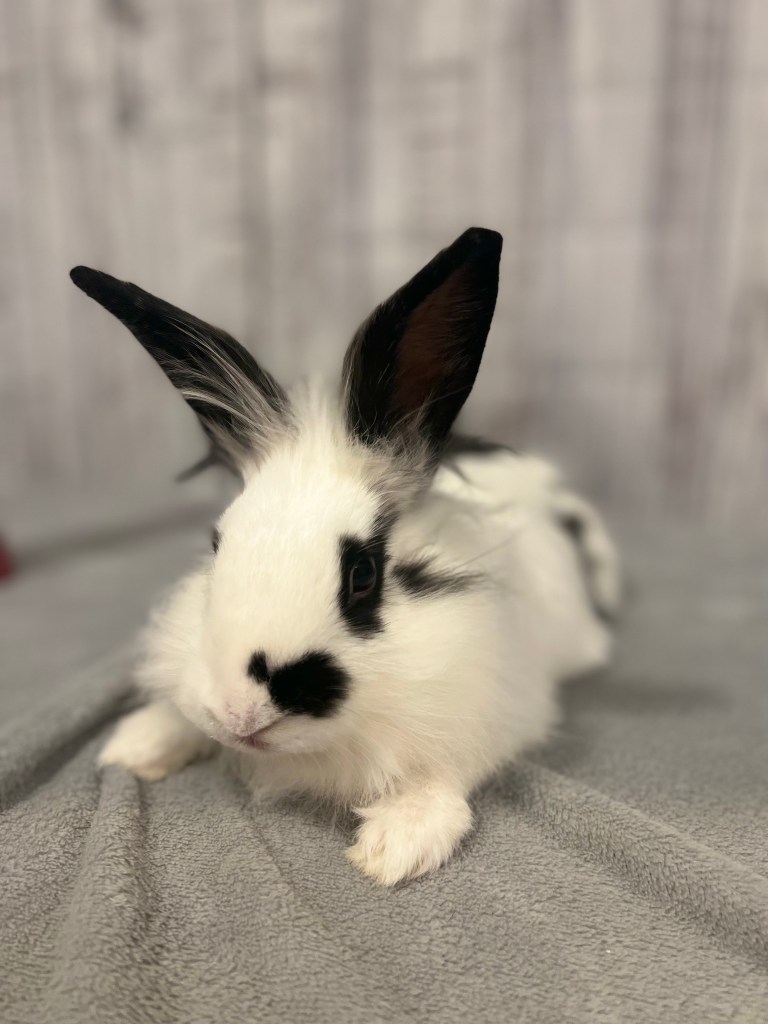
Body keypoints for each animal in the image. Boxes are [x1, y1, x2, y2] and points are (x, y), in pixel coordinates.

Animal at [70, 227, 620, 886]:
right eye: (216, 546)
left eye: (362, 575)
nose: (241, 715)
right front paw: (135, 746)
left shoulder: (490, 707)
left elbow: (444, 774)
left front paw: (396, 846)